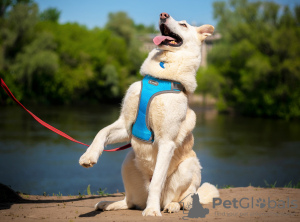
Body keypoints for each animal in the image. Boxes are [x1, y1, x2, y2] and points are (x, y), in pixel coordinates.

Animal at [78, 12, 219, 217]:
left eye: (184, 25)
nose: (163, 14)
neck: (161, 76)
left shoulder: (166, 141)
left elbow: (157, 182)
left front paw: (152, 211)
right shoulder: (126, 125)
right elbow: (101, 132)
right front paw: (89, 156)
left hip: (189, 166)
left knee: (186, 196)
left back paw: (172, 205)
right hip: (128, 162)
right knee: (130, 202)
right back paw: (109, 203)